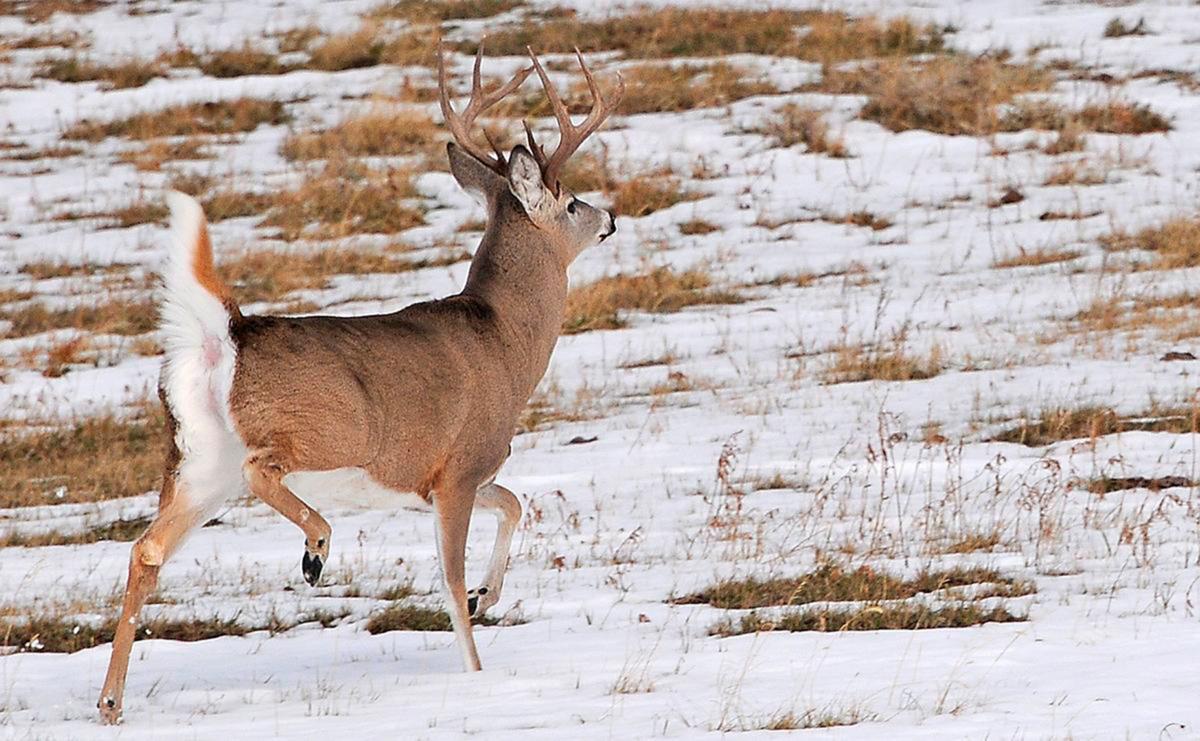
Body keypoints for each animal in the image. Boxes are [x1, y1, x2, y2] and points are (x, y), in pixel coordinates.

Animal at [97, 43, 623, 724]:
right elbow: (451, 577)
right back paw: (316, 548)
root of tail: (227, 335)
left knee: (146, 550)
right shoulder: (458, 466)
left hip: (195, 463)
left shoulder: (437, 477)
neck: (505, 339)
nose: (611, 217)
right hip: (329, 432)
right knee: (261, 472)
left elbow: (513, 503)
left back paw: (110, 702)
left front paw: (488, 594)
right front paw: (477, 671)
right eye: (571, 201)